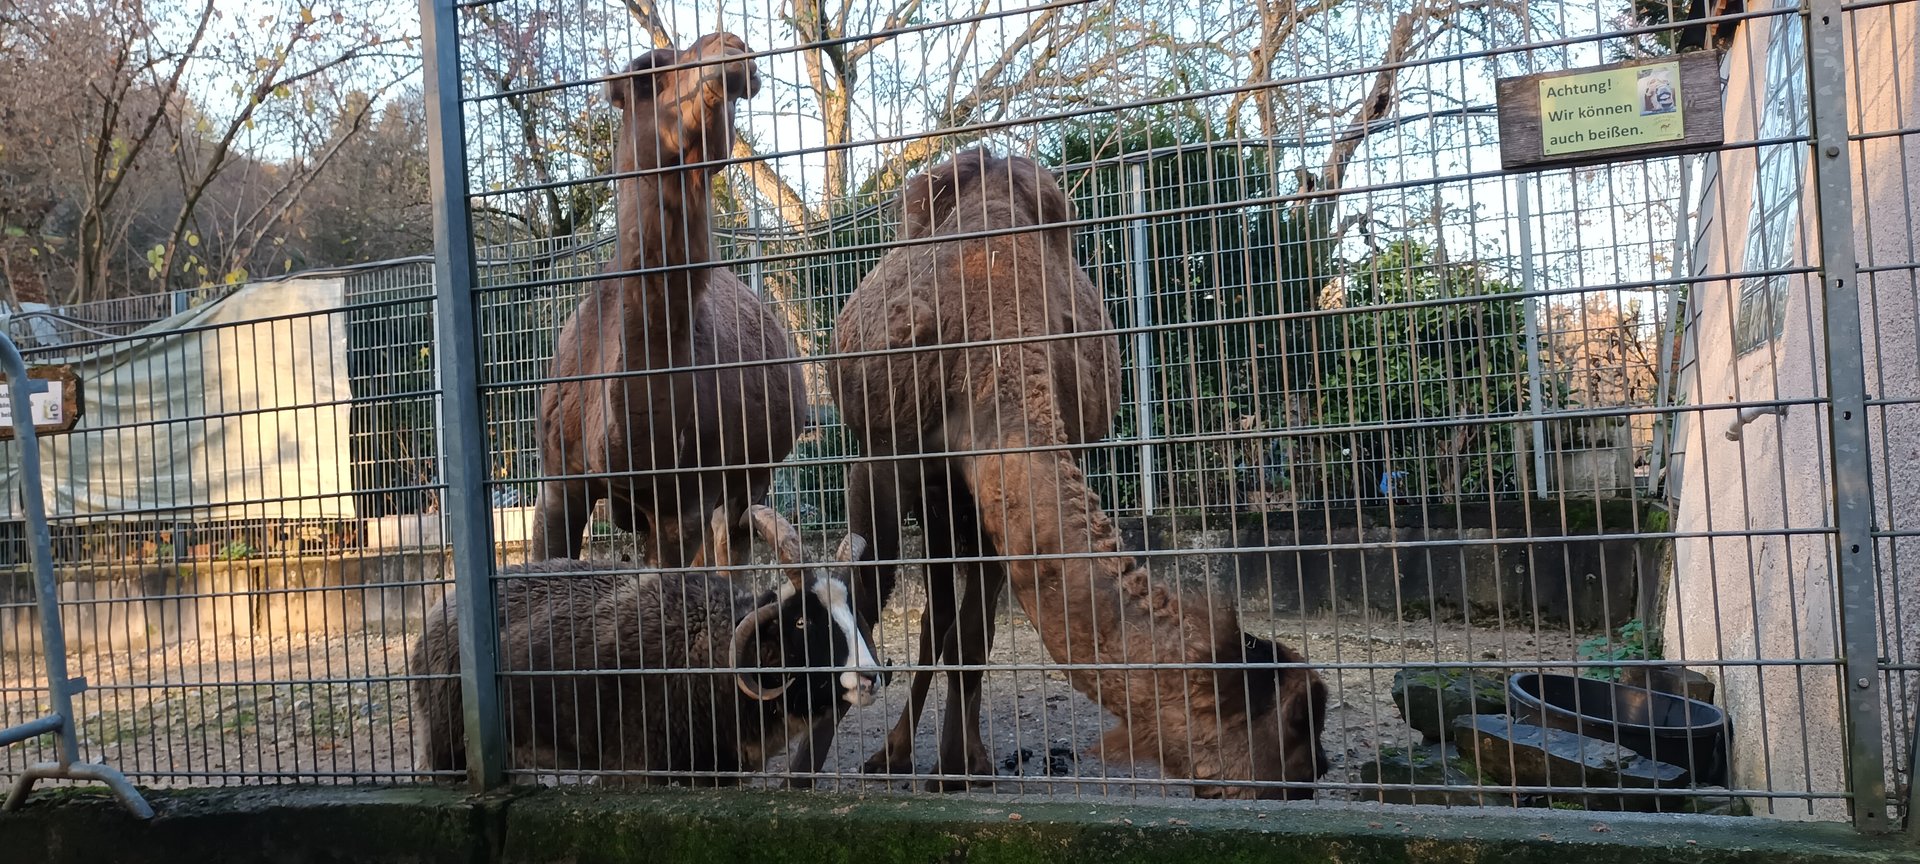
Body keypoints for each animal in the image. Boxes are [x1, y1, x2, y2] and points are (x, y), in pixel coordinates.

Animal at [528, 33, 805, 570]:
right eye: (645, 75)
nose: (730, 49)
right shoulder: (556, 482)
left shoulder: (687, 496)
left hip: (752, 475)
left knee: (732, 539)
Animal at [813, 149, 1329, 799]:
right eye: (1296, 729)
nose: (1317, 774)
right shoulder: (884, 455)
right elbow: (863, 596)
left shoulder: (992, 487)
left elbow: (972, 634)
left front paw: (957, 770)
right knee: (923, 609)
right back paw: (892, 755)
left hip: (957, 503)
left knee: (946, 620)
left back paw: (956, 756)